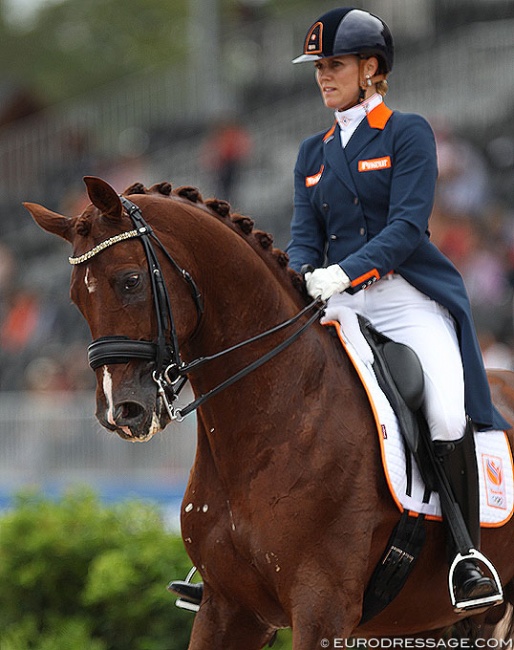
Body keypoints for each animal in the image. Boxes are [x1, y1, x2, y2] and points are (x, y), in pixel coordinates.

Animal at [25, 175, 514, 644]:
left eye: (130, 280)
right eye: (75, 298)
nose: (121, 411)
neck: (275, 421)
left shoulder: (323, 608)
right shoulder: (227, 609)